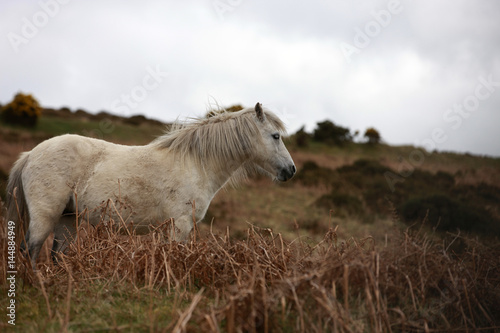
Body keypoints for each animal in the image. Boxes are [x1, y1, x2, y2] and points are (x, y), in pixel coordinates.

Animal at [5, 104, 294, 268]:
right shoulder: (180, 225)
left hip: (68, 219)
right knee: (29, 251)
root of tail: (30, 154)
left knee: (57, 255)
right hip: (46, 216)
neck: (195, 163)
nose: (290, 171)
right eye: (275, 136)